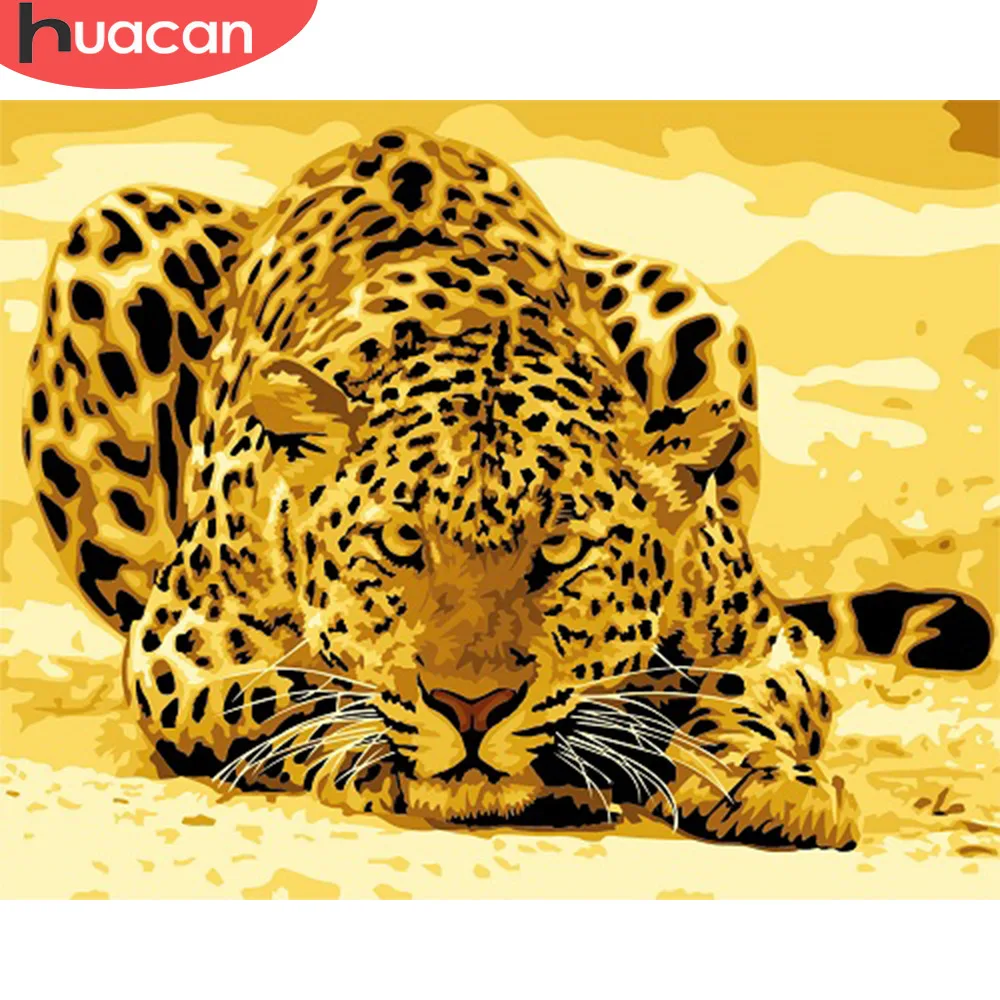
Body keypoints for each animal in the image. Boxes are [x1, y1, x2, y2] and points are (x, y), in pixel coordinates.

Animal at [23, 127, 993, 850]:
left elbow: (742, 696)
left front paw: (770, 781)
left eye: (560, 550)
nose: (472, 706)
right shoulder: (179, 649)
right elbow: (288, 694)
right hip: (114, 233)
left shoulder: (768, 641)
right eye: (400, 542)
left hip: (693, 307)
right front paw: (383, 752)